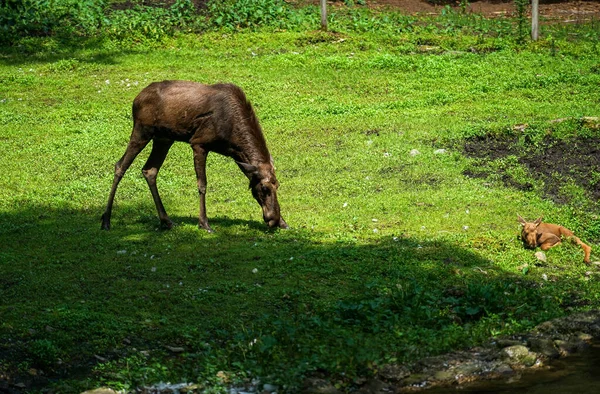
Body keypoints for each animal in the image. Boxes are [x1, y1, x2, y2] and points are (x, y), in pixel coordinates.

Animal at [101, 81, 288, 232]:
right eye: (264, 189)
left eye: (277, 185)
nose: (273, 219)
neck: (232, 141)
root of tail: (136, 100)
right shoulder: (199, 143)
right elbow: (202, 184)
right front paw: (204, 223)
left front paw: (284, 222)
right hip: (142, 131)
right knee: (120, 165)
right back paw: (106, 220)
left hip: (163, 138)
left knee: (149, 170)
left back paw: (166, 221)